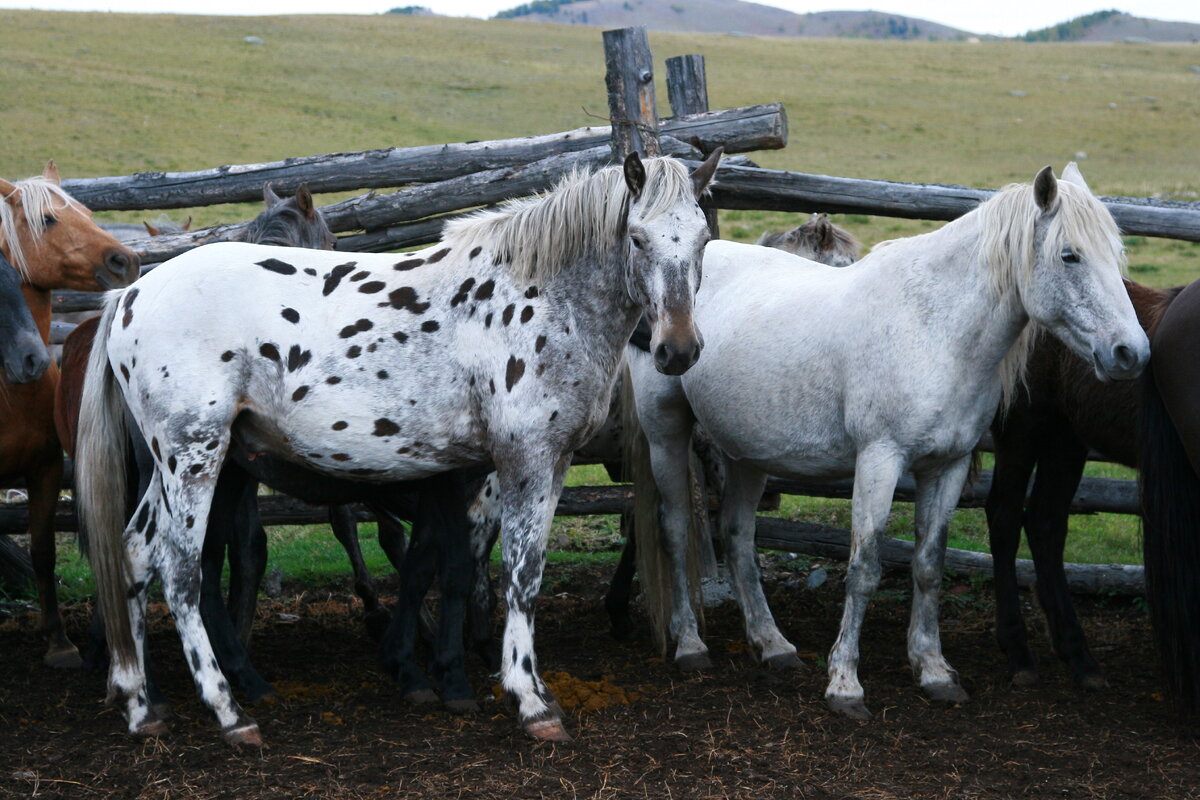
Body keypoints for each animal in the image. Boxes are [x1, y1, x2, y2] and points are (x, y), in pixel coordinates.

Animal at [0, 159, 139, 666]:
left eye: (88, 213)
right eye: (48, 220)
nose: (125, 261)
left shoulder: (43, 469)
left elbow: (43, 552)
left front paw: (58, 641)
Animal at [79, 149, 724, 743]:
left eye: (702, 238)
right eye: (637, 237)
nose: (678, 350)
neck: (538, 295)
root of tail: (131, 294)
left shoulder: (547, 463)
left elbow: (492, 570)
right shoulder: (522, 460)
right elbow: (517, 575)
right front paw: (527, 700)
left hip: (177, 467)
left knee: (134, 553)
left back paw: (142, 706)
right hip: (194, 458)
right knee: (180, 569)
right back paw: (228, 712)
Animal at [624, 163, 1147, 719]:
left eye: (1115, 254)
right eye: (1070, 255)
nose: (1130, 353)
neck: (935, 328)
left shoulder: (947, 466)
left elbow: (929, 565)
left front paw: (933, 669)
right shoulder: (880, 460)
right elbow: (865, 567)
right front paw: (845, 684)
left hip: (746, 452)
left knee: (739, 536)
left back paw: (773, 645)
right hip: (666, 433)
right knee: (676, 528)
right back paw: (690, 645)